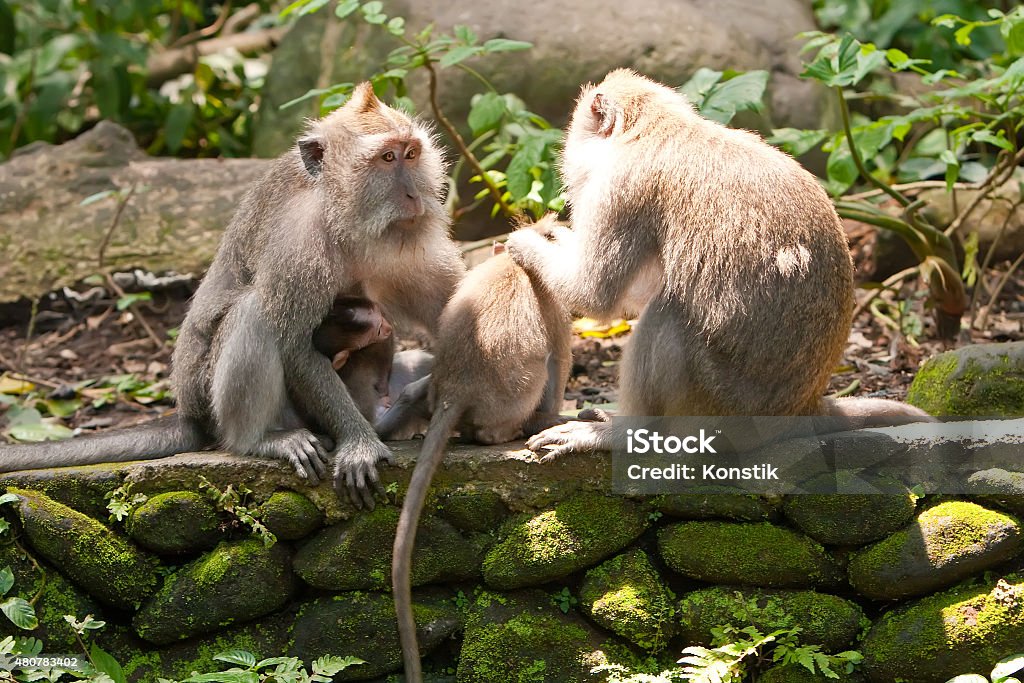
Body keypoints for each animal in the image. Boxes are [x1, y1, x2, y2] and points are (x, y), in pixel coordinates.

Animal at [0, 82, 464, 507]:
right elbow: (294, 345)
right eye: (386, 159)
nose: (413, 195)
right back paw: (258, 439)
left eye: (410, 154)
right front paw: (358, 443)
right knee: (254, 314)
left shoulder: (413, 244)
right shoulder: (298, 245)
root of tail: (190, 414)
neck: (343, 216)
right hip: (224, 400)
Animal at [507, 69, 933, 458]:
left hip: (719, 407)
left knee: (667, 316)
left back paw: (623, 434)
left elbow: (595, 292)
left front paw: (526, 243)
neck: (656, 128)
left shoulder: (621, 187)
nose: (568, 167)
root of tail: (804, 409)